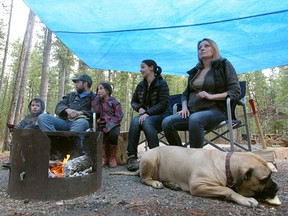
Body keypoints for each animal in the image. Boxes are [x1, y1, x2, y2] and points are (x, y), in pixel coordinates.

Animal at [110, 146, 280, 207]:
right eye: (265, 179)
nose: (277, 187)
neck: (225, 165)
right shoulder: (199, 185)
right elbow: (228, 190)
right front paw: (245, 199)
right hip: (151, 159)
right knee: (145, 179)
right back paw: (155, 183)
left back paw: (172, 184)